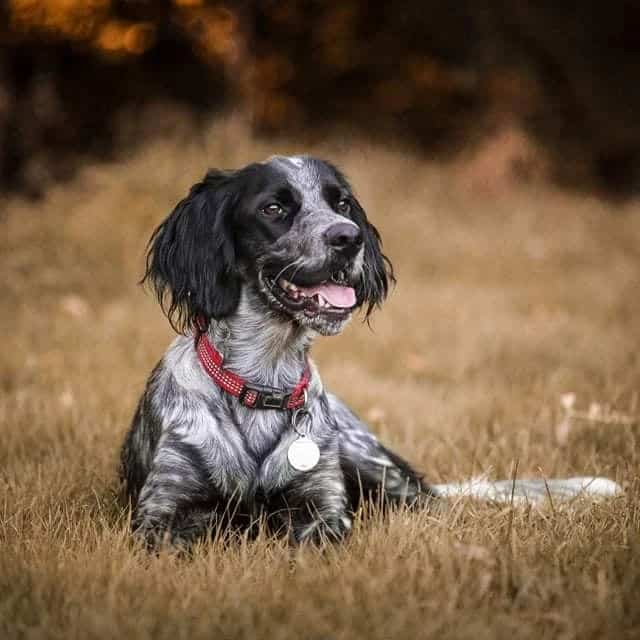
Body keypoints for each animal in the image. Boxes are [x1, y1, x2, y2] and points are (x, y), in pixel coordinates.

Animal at [120, 155, 436, 544]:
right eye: (273, 208)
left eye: (341, 203)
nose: (350, 236)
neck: (263, 384)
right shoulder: (162, 510)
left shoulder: (323, 506)